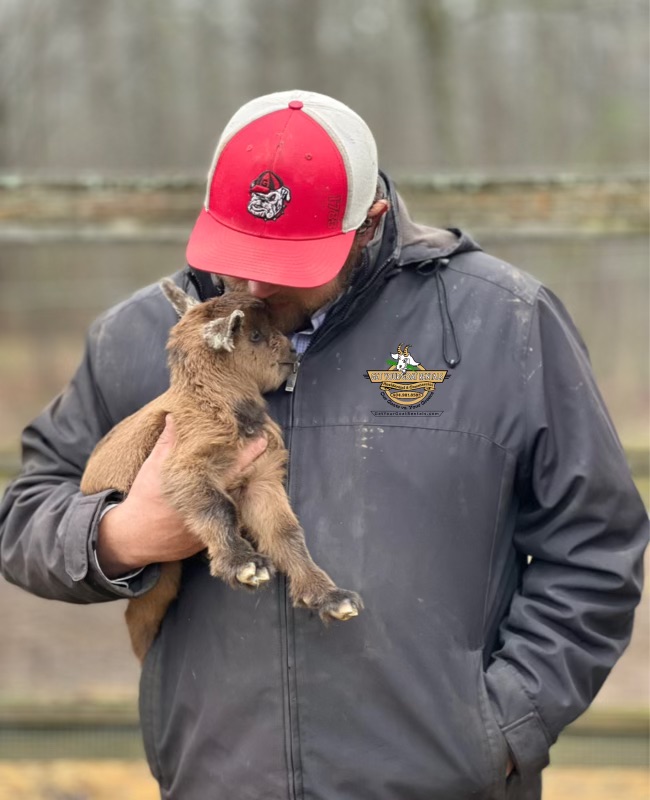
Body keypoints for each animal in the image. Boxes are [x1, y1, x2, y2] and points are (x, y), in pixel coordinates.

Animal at [81, 279, 363, 663]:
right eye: (255, 335)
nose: (292, 350)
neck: (215, 402)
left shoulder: (261, 478)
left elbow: (287, 533)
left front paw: (328, 596)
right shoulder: (187, 468)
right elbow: (219, 508)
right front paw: (243, 563)